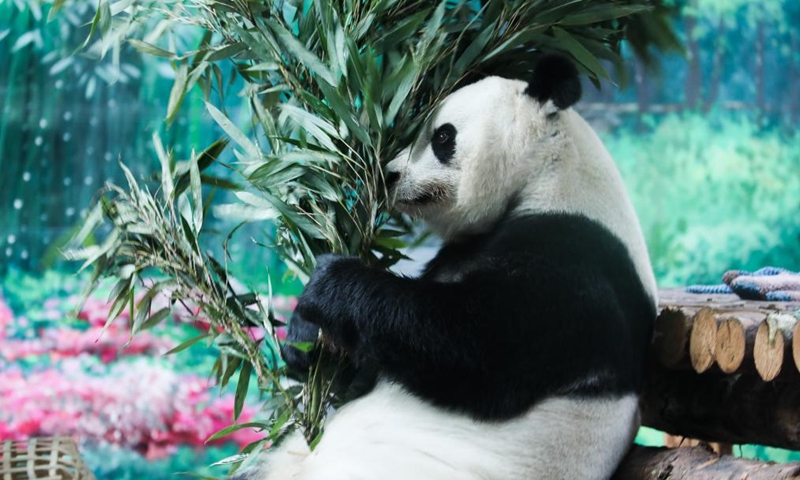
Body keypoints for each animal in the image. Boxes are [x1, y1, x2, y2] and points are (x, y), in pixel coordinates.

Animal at [243, 54, 658, 480]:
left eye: (443, 136)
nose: (388, 174)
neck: (552, 173)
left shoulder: (573, 268)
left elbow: (470, 345)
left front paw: (330, 282)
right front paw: (307, 339)